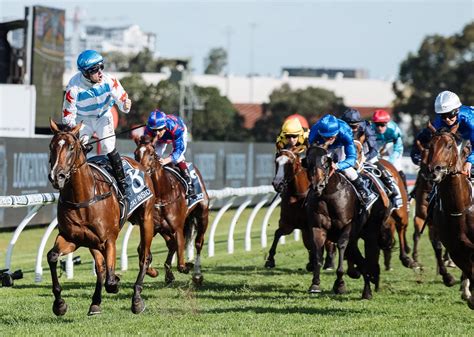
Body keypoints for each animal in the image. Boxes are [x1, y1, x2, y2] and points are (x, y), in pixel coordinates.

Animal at [47, 119, 154, 314]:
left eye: (71, 147)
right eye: (51, 146)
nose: (57, 176)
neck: (83, 198)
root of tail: (136, 163)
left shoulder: (108, 240)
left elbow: (111, 281)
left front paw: (118, 282)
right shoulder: (71, 238)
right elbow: (52, 256)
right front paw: (59, 304)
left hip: (146, 220)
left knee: (144, 257)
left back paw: (136, 299)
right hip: (92, 242)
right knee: (101, 267)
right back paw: (95, 303)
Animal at [132, 134, 208, 284]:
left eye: (152, 154)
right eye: (136, 153)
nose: (142, 172)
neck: (163, 195)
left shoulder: (177, 227)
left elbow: (181, 264)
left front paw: (187, 266)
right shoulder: (154, 227)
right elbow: (141, 250)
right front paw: (153, 271)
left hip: (203, 215)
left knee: (198, 243)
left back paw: (197, 273)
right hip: (164, 228)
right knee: (171, 244)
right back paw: (169, 275)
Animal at [304, 144, 392, 296]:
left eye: (326, 163)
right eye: (308, 163)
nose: (318, 186)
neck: (328, 195)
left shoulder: (348, 226)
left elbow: (341, 246)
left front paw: (340, 284)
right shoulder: (317, 227)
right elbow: (318, 252)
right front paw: (315, 284)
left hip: (371, 231)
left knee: (371, 255)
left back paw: (371, 284)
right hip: (357, 237)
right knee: (361, 260)